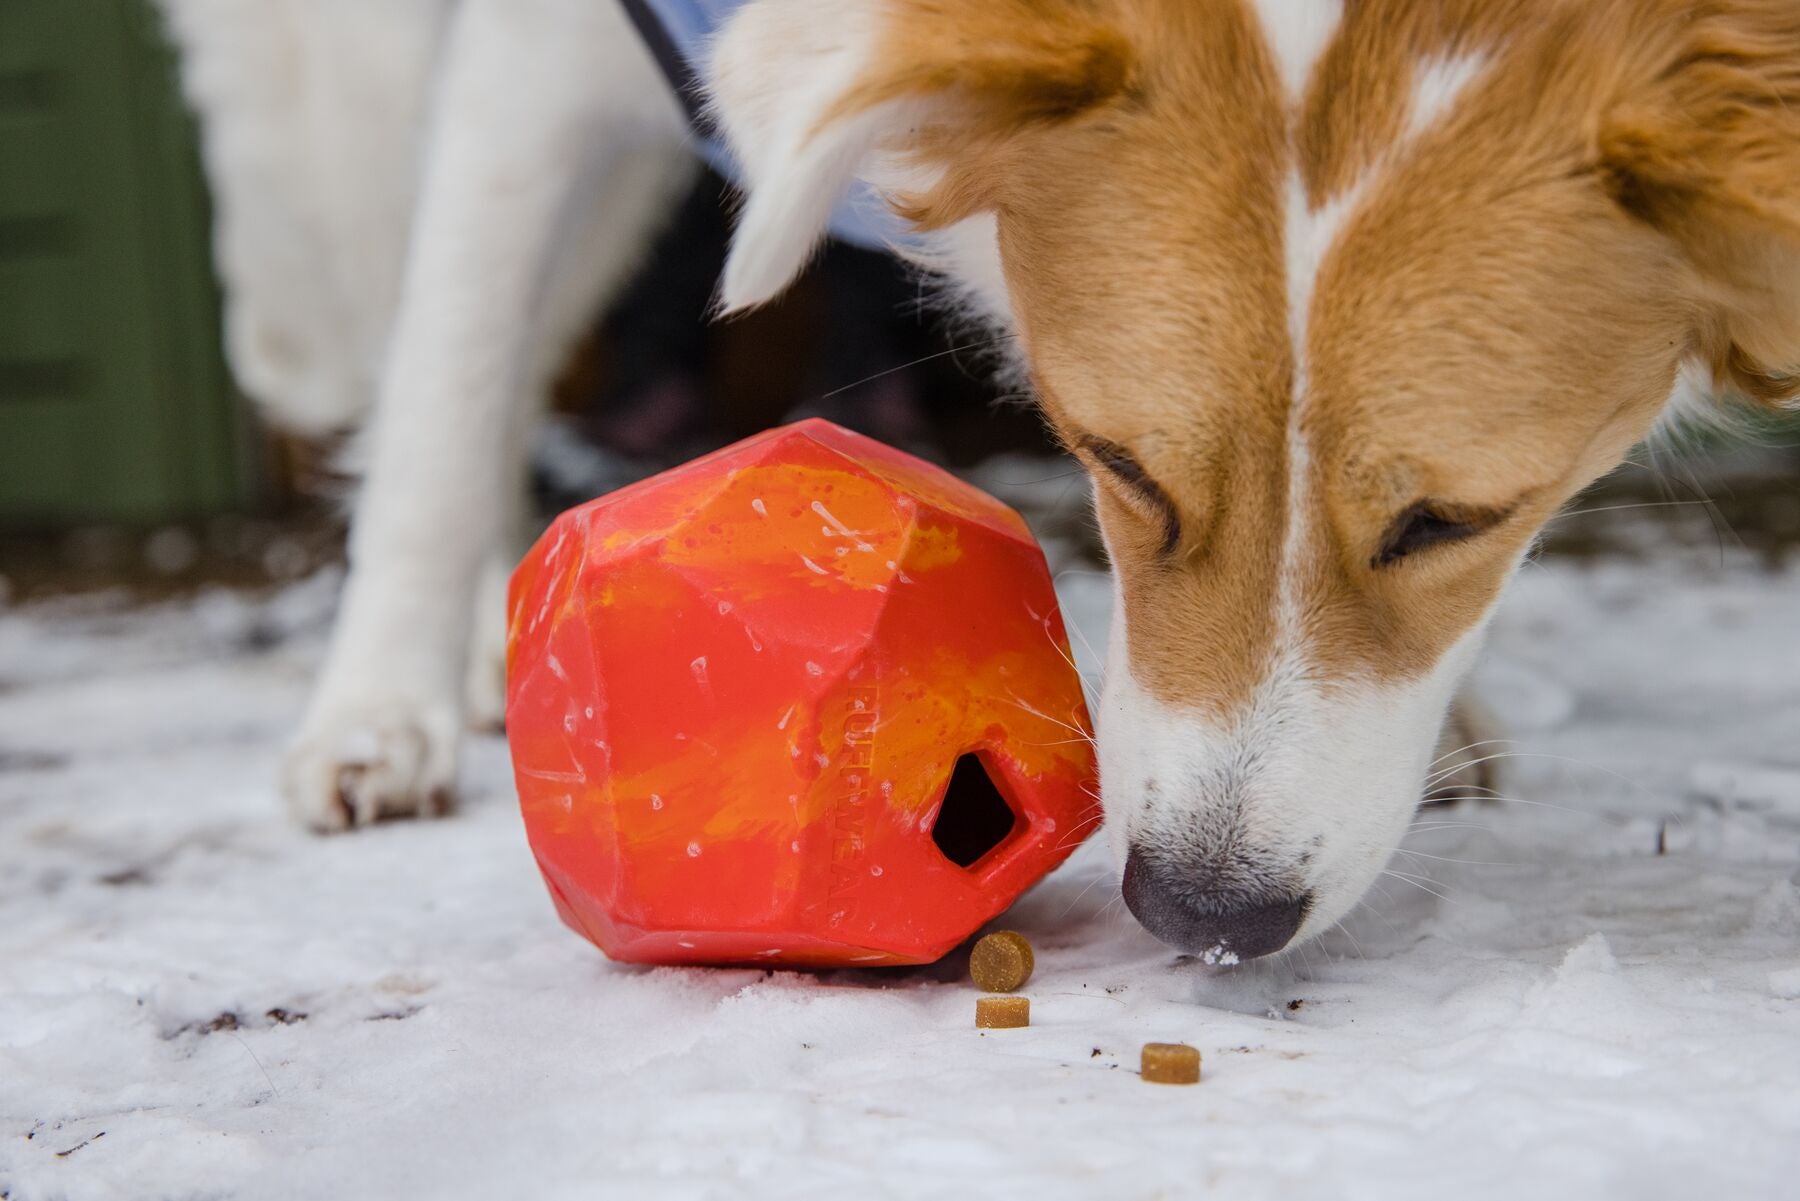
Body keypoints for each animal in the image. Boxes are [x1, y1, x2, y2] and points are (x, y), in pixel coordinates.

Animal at [162, 0, 1792, 957]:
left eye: (1455, 519)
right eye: (1118, 463)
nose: (1202, 915)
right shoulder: (536, 58)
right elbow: (448, 368)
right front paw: (375, 712)